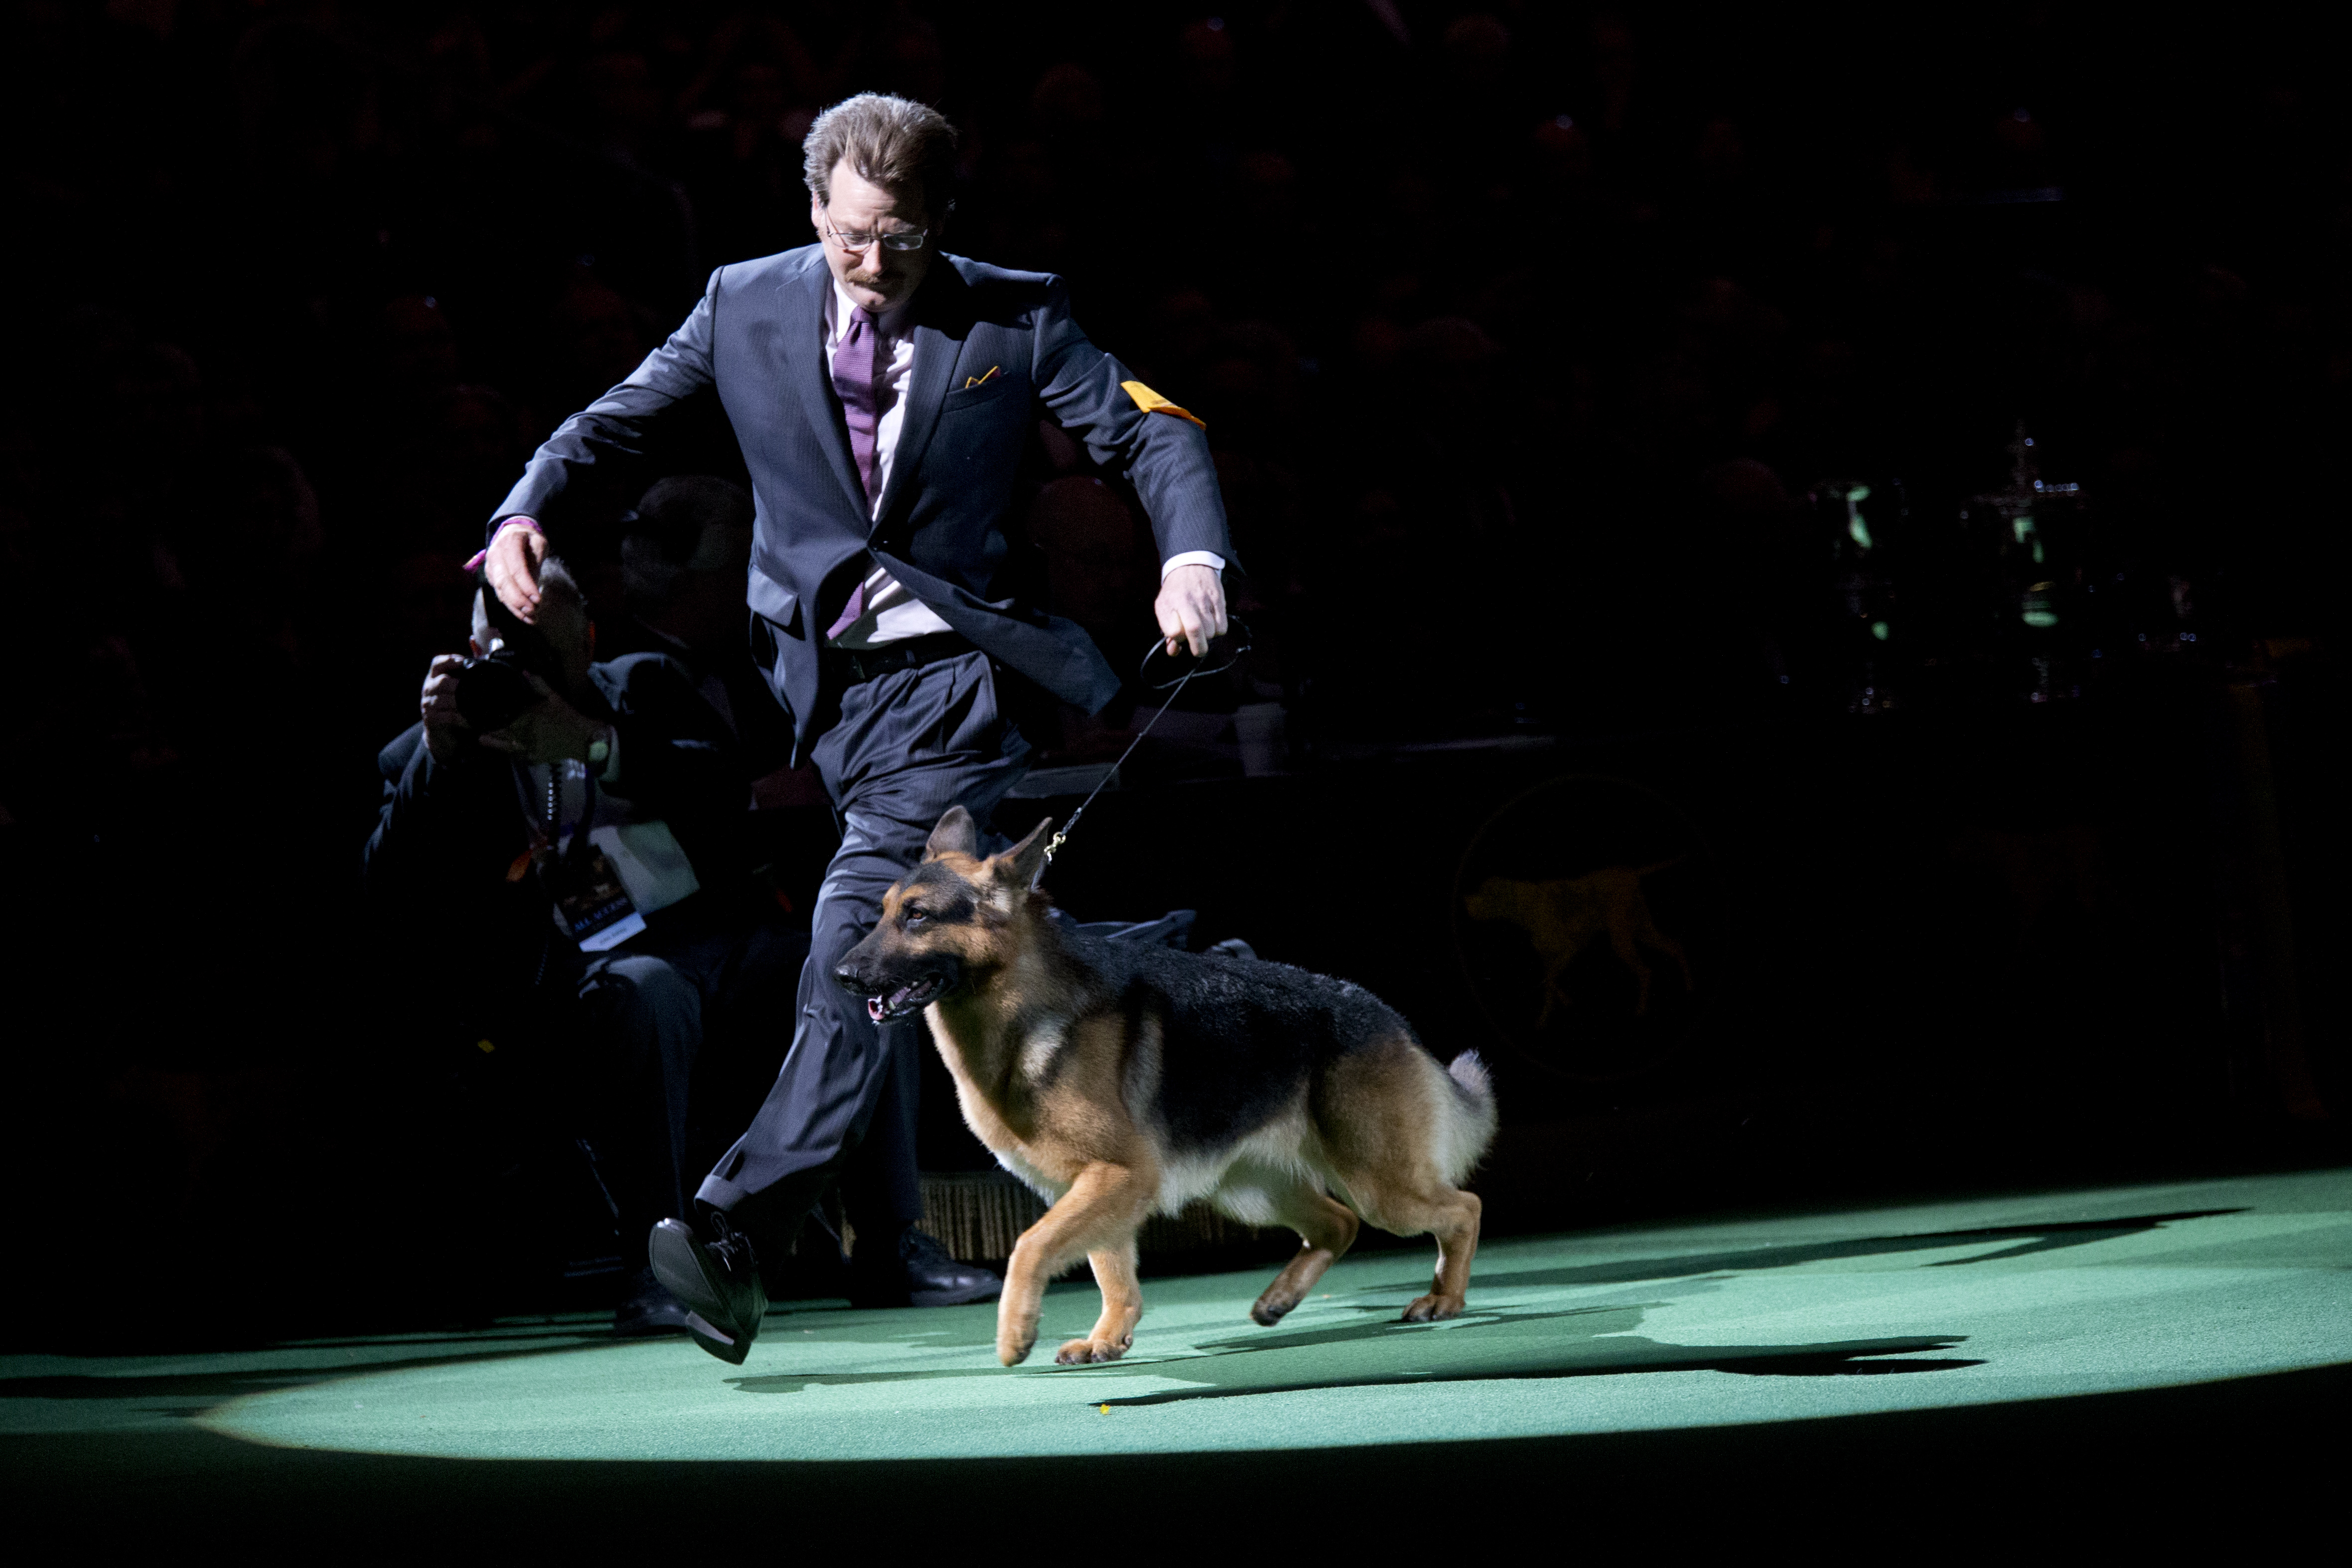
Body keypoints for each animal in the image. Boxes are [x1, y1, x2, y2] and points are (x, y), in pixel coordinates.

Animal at [832, 809, 1486, 1363]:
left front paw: (1016, 1331)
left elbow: (1031, 1247)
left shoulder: (1116, 1176)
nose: (841, 974)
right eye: (884, 913)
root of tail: (1386, 1016)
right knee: (1337, 1224)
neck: (1020, 1007)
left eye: (917, 916)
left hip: (1380, 1187)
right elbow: (1111, 1269)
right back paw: (1280, 1299)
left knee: (1462, 1209)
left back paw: (1443, 1298)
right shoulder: (1100, 1185)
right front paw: (1107, 1337)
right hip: (1250, 1189)